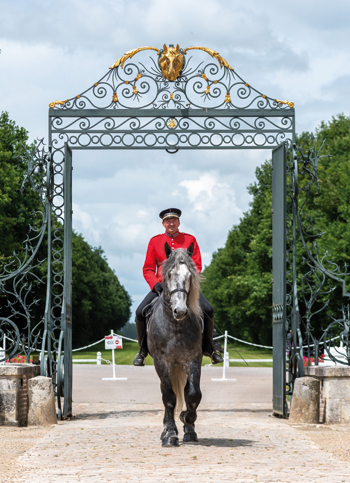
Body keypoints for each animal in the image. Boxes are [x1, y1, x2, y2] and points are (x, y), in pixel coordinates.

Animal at [147, 244, 202, 448]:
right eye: (169, 274)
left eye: (189, 275)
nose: (180, 311)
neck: (175, 326)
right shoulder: (162, 362)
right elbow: (169, 397)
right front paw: (170, 433)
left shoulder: (193, 360)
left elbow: (193, 395)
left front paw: (186, 418)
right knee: (167, 393)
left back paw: (189, 430)